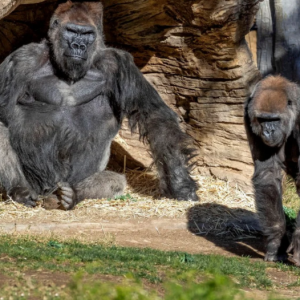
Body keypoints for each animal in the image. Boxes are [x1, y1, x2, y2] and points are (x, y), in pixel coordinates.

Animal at [0, 1, 198, 210]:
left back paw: (69, 195)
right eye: (71, 31)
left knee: (115, 181)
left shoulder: (118, 63)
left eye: (87, 34)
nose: (79, 46)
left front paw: (180, 184)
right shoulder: (22, 60)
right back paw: (22, 190)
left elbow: (154, 115)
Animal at [244, 76, 300, 266]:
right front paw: (277, 241)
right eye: (262, 120)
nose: (268, 131)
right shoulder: (248, 115)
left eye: (275, 119)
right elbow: (268, 174)